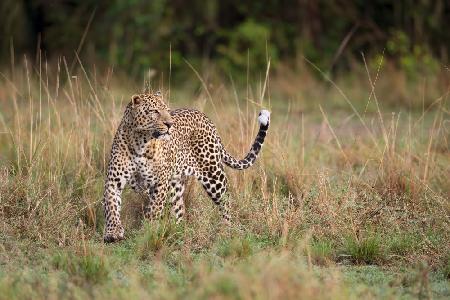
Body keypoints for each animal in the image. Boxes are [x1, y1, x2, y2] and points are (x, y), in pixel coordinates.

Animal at [103, 90, 270, 243]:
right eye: (154, 111)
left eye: (167, 110)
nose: (169, 124)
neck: (140, 142)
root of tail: (207, 119)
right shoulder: (113, 181)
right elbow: (112, 207)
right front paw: (112, 233)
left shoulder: (159, 183)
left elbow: (154, 210)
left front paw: (147, 231)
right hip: (175, 185)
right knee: (179, 209)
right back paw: (176, 231)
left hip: (213, 175)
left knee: (226, 201)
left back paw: (226, 229)